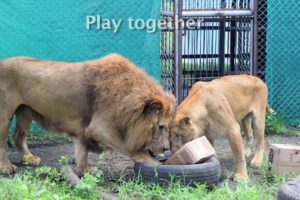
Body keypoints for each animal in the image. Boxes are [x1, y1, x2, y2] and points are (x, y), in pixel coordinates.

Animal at [0, 54, 176, 174]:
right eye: (160, 127)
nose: (166, 148)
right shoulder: (99, 127)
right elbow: (130, 148)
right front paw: (153, 164)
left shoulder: (84, 128)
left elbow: (82, 150)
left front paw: (85, 170)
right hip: (5, 113)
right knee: (3, 142)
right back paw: (6, 167)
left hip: (25, 111)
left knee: (19, 136)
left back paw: (29, 159)